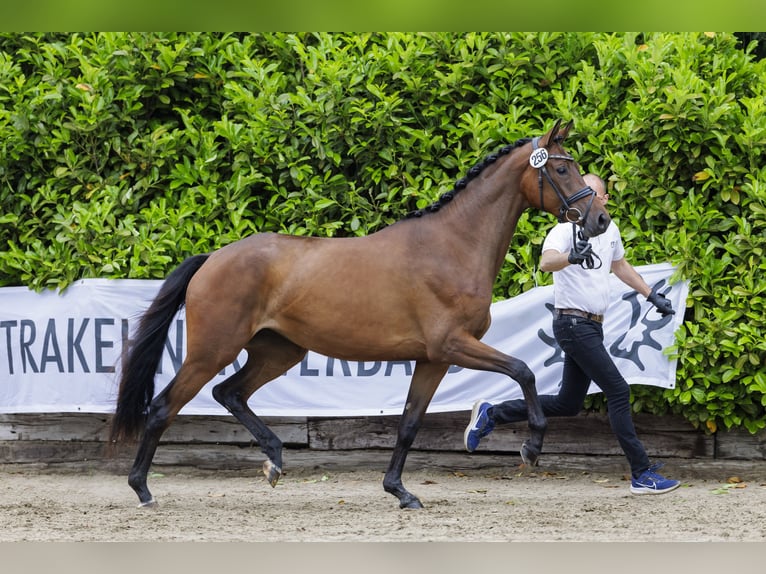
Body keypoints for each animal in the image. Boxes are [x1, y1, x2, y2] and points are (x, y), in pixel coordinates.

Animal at [109, 119, 612, 510]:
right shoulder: (453, 344)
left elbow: (409, 423)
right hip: (212, 349)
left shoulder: (433, 358)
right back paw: (143, 490)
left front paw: (400, 492)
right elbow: (523, 370)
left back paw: (273, 460)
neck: (453, 245)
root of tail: (212, 258)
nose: (599, 220)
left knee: (228, 393)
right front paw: (531, 448)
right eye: (562, 168)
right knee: (164, 406)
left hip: (278, 352)